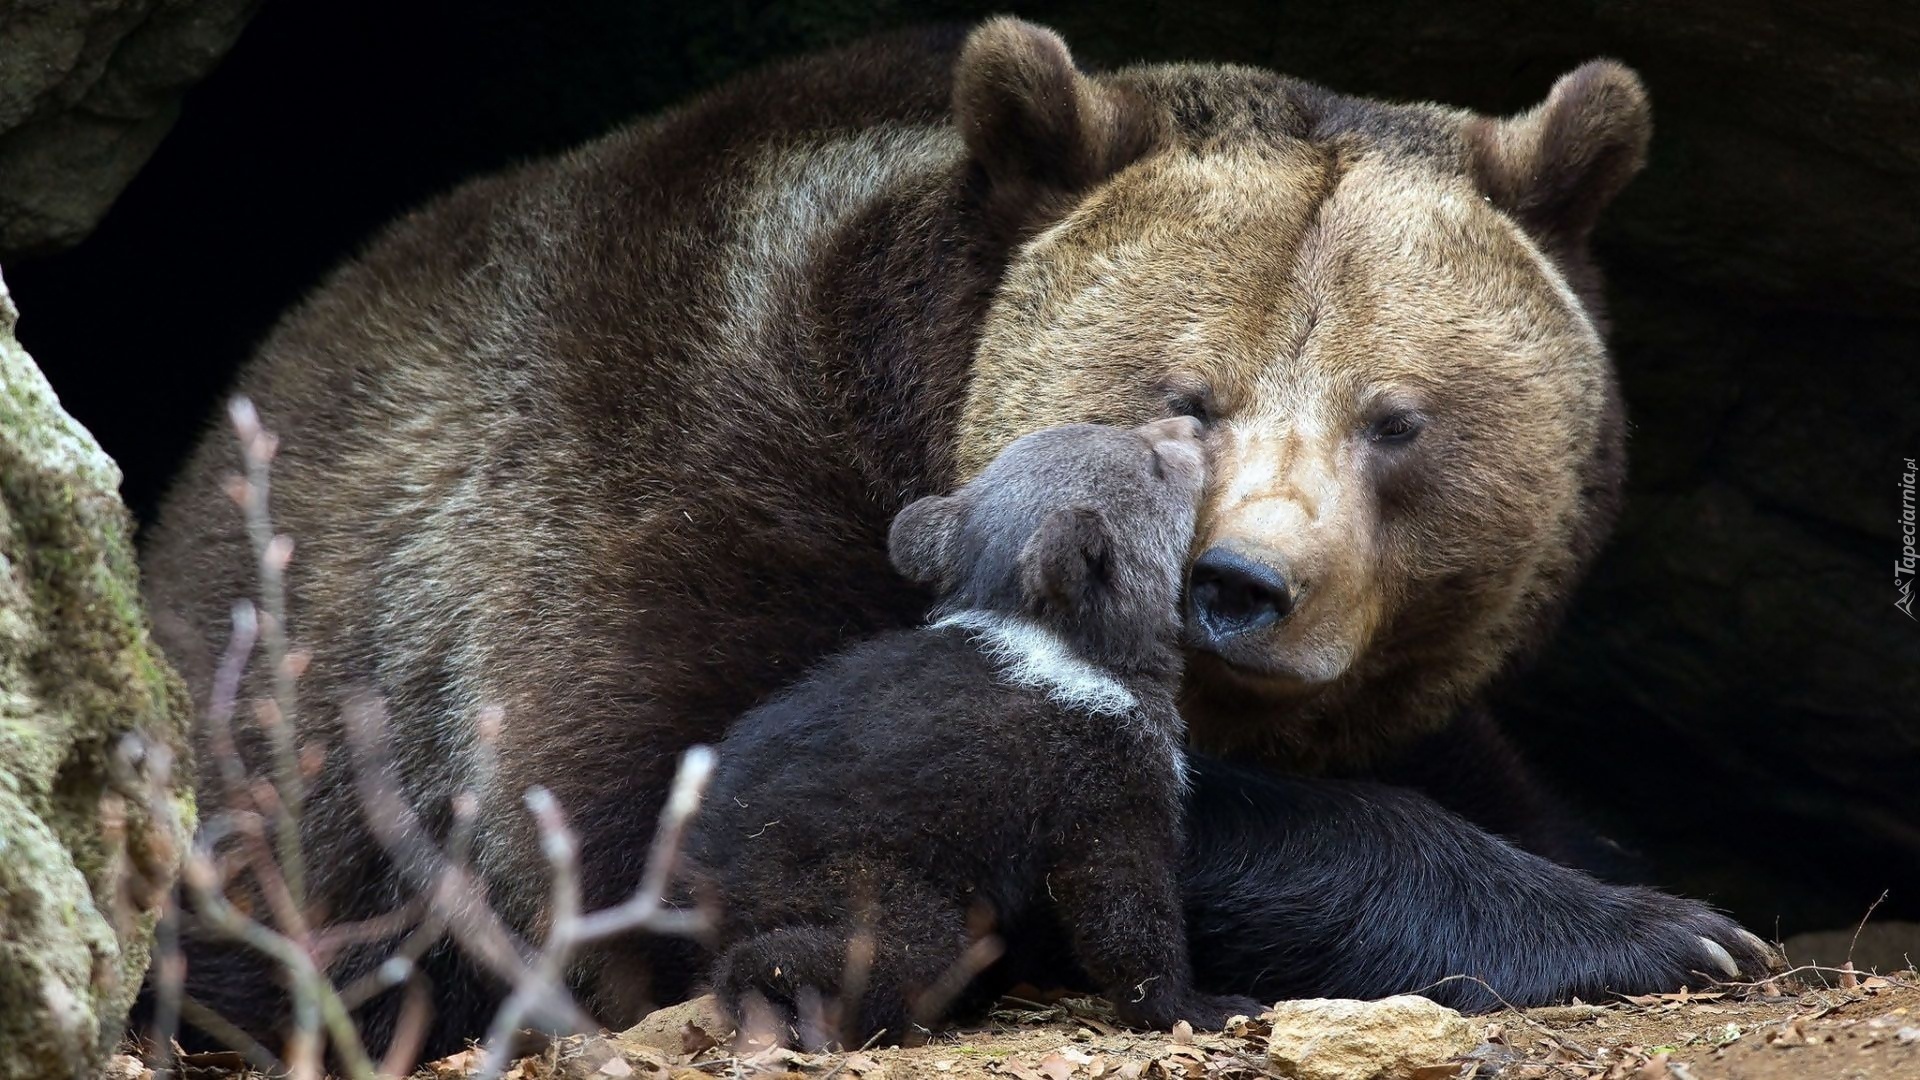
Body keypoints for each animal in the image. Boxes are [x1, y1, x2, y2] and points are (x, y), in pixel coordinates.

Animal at [142, 14, 1774, 1045]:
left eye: (1398, 420)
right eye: (1188, 395)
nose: (1244, 586)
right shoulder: (688, 499)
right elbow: (684, 815)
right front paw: (1655, 924)